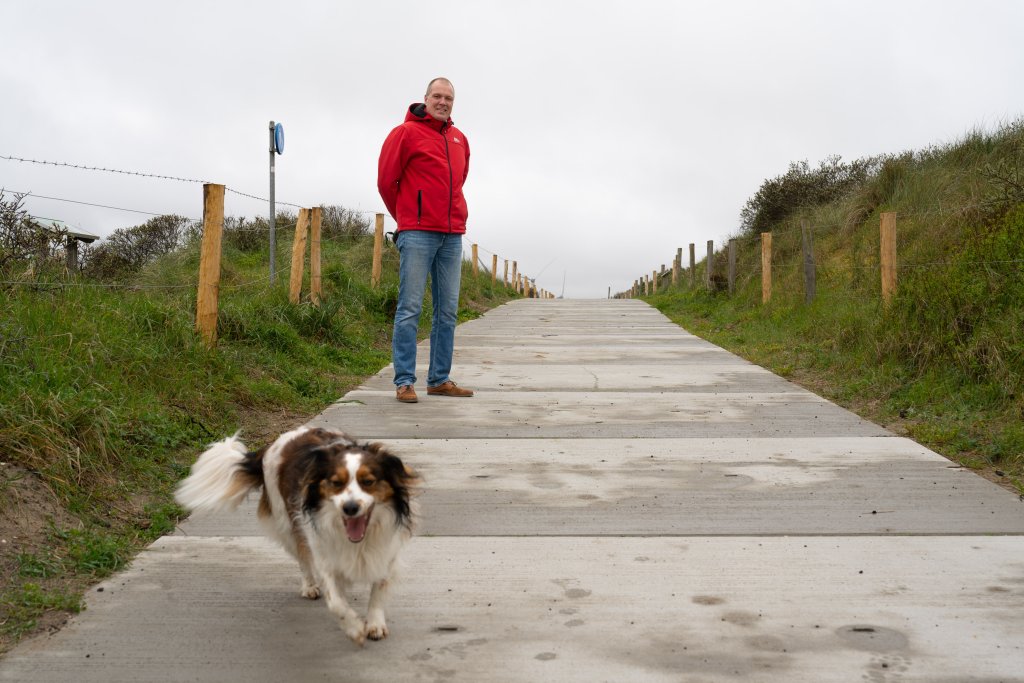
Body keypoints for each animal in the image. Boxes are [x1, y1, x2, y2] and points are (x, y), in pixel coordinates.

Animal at [174, 428, 417, 647]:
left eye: (368, 481)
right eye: (336, 483)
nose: (350, 508)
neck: (358, 540)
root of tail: (274, 443)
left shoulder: (386, 551)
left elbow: (379, 589)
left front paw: (375, 623)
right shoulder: (324, 554)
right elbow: (336, 602)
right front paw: (354, 628)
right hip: (288, 524)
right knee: (302, 558)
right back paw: (309, 586)